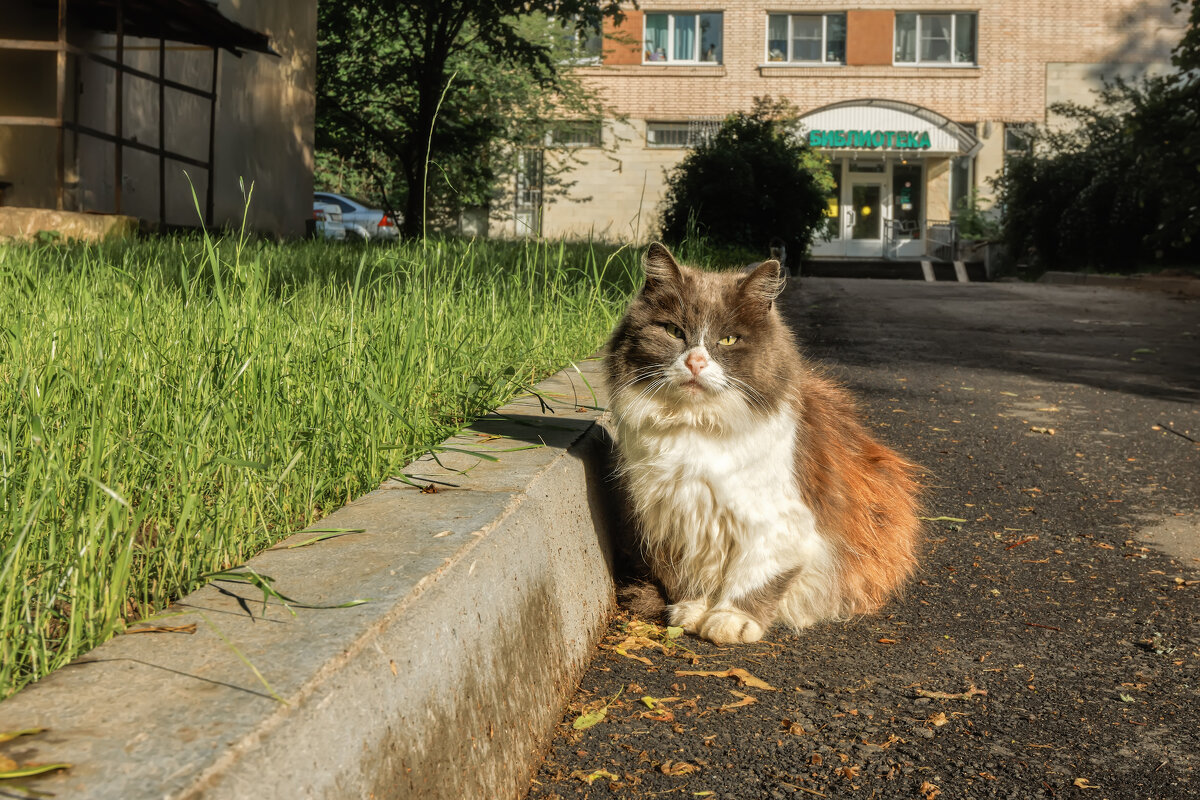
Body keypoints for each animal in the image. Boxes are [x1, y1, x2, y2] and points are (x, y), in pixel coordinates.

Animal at [604, 242, 921, 642]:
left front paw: (730, 620)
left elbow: (754, 578)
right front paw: (693, 610)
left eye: (728, 339)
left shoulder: (776, 522)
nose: (695, 363)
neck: (696, 429)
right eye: (675, 331)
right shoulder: (677, 518)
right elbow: (689, 576)